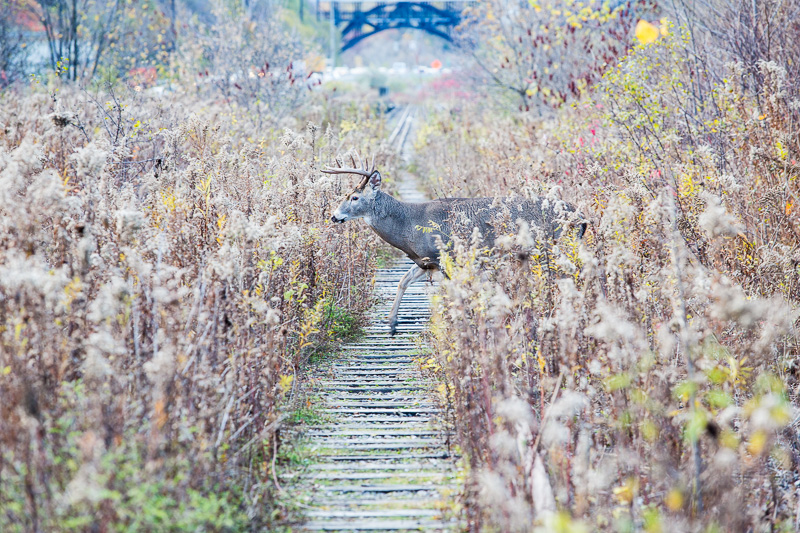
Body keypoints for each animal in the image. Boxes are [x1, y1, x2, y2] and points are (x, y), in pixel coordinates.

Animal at [324, 154, 588, 334]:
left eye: (354, 197)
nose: (334, 216)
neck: (408, 225)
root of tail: (581, 216)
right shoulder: (425, 261)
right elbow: (402, 281)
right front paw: (391, 324)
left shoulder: (444, 256)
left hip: (555, 245)